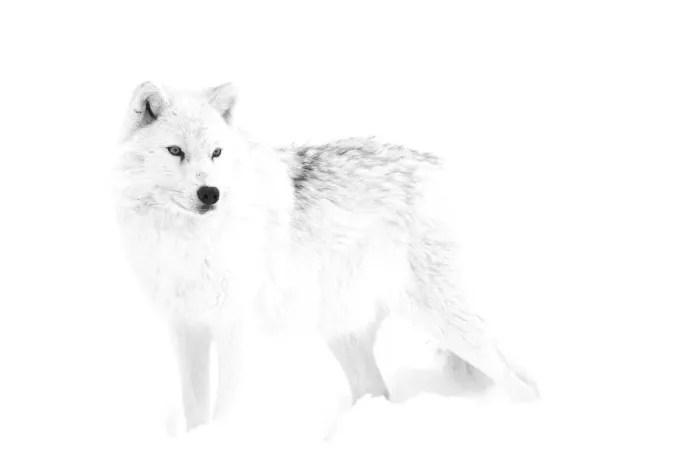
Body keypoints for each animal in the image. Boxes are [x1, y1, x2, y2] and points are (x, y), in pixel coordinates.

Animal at [115, 81, 539, 433]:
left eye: (216, 152)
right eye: (175, 151)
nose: (210, 193)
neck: (188, 241)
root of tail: (434, 164)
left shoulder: (235, 329)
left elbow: (227, 407)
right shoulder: (187, 330)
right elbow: (195, 409)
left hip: (448, 324)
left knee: (518, 382)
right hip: (347, 334)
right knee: (377, 390)